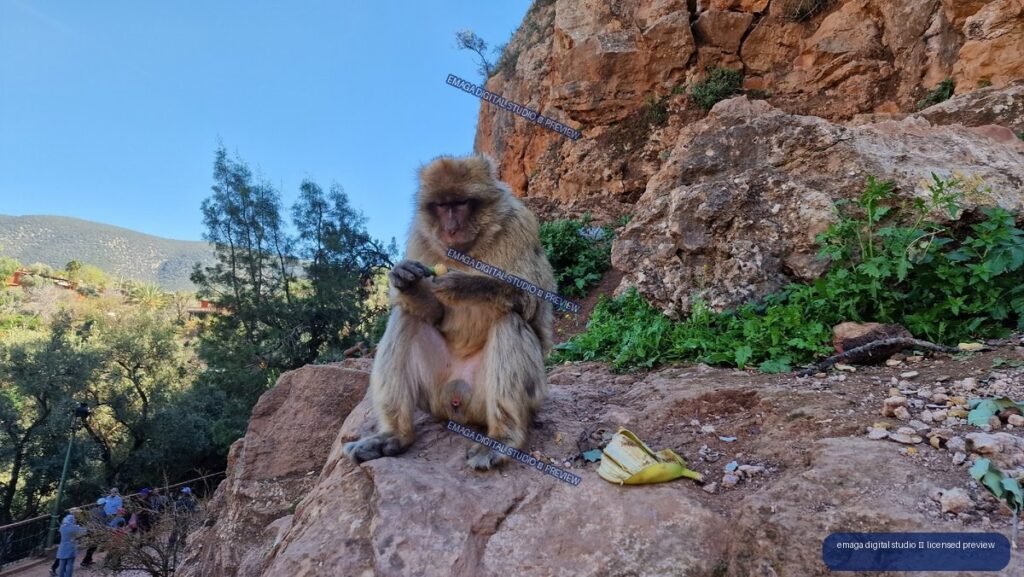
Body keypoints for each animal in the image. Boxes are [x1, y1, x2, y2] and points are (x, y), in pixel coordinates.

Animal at [343, 154, 554, 470]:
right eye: (442, 206)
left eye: (461, 203)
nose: (450, 228)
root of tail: (457, 403)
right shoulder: (419, 235)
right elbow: (431, 312)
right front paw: (406, 280)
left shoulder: (521, 225)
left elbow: (534, 303)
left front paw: (466, 285)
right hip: (434, 395)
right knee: (406, 317)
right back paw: (394, 435)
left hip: (505, 397)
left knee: (510, 320)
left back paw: (502, 437)